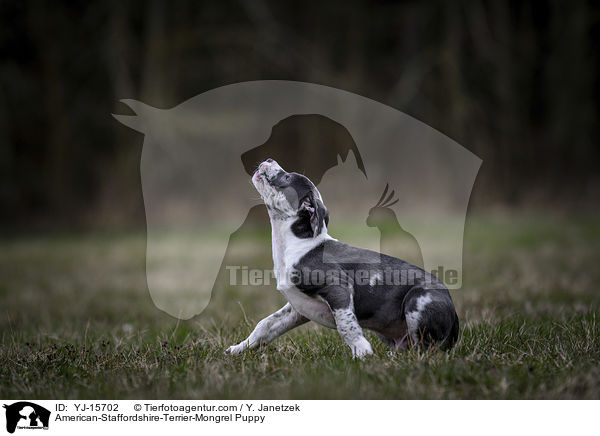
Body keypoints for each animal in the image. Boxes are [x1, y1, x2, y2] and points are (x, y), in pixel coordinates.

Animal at [226, 158, 460, 356]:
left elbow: (346, 326)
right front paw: (238, 349)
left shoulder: (337, 289)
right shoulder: (297, 307)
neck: (298, 244)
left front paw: (362, 352)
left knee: (426, 349)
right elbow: (265, 326)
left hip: (418, 300)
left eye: (287, 178)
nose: (269, 159)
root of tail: (456, 318)